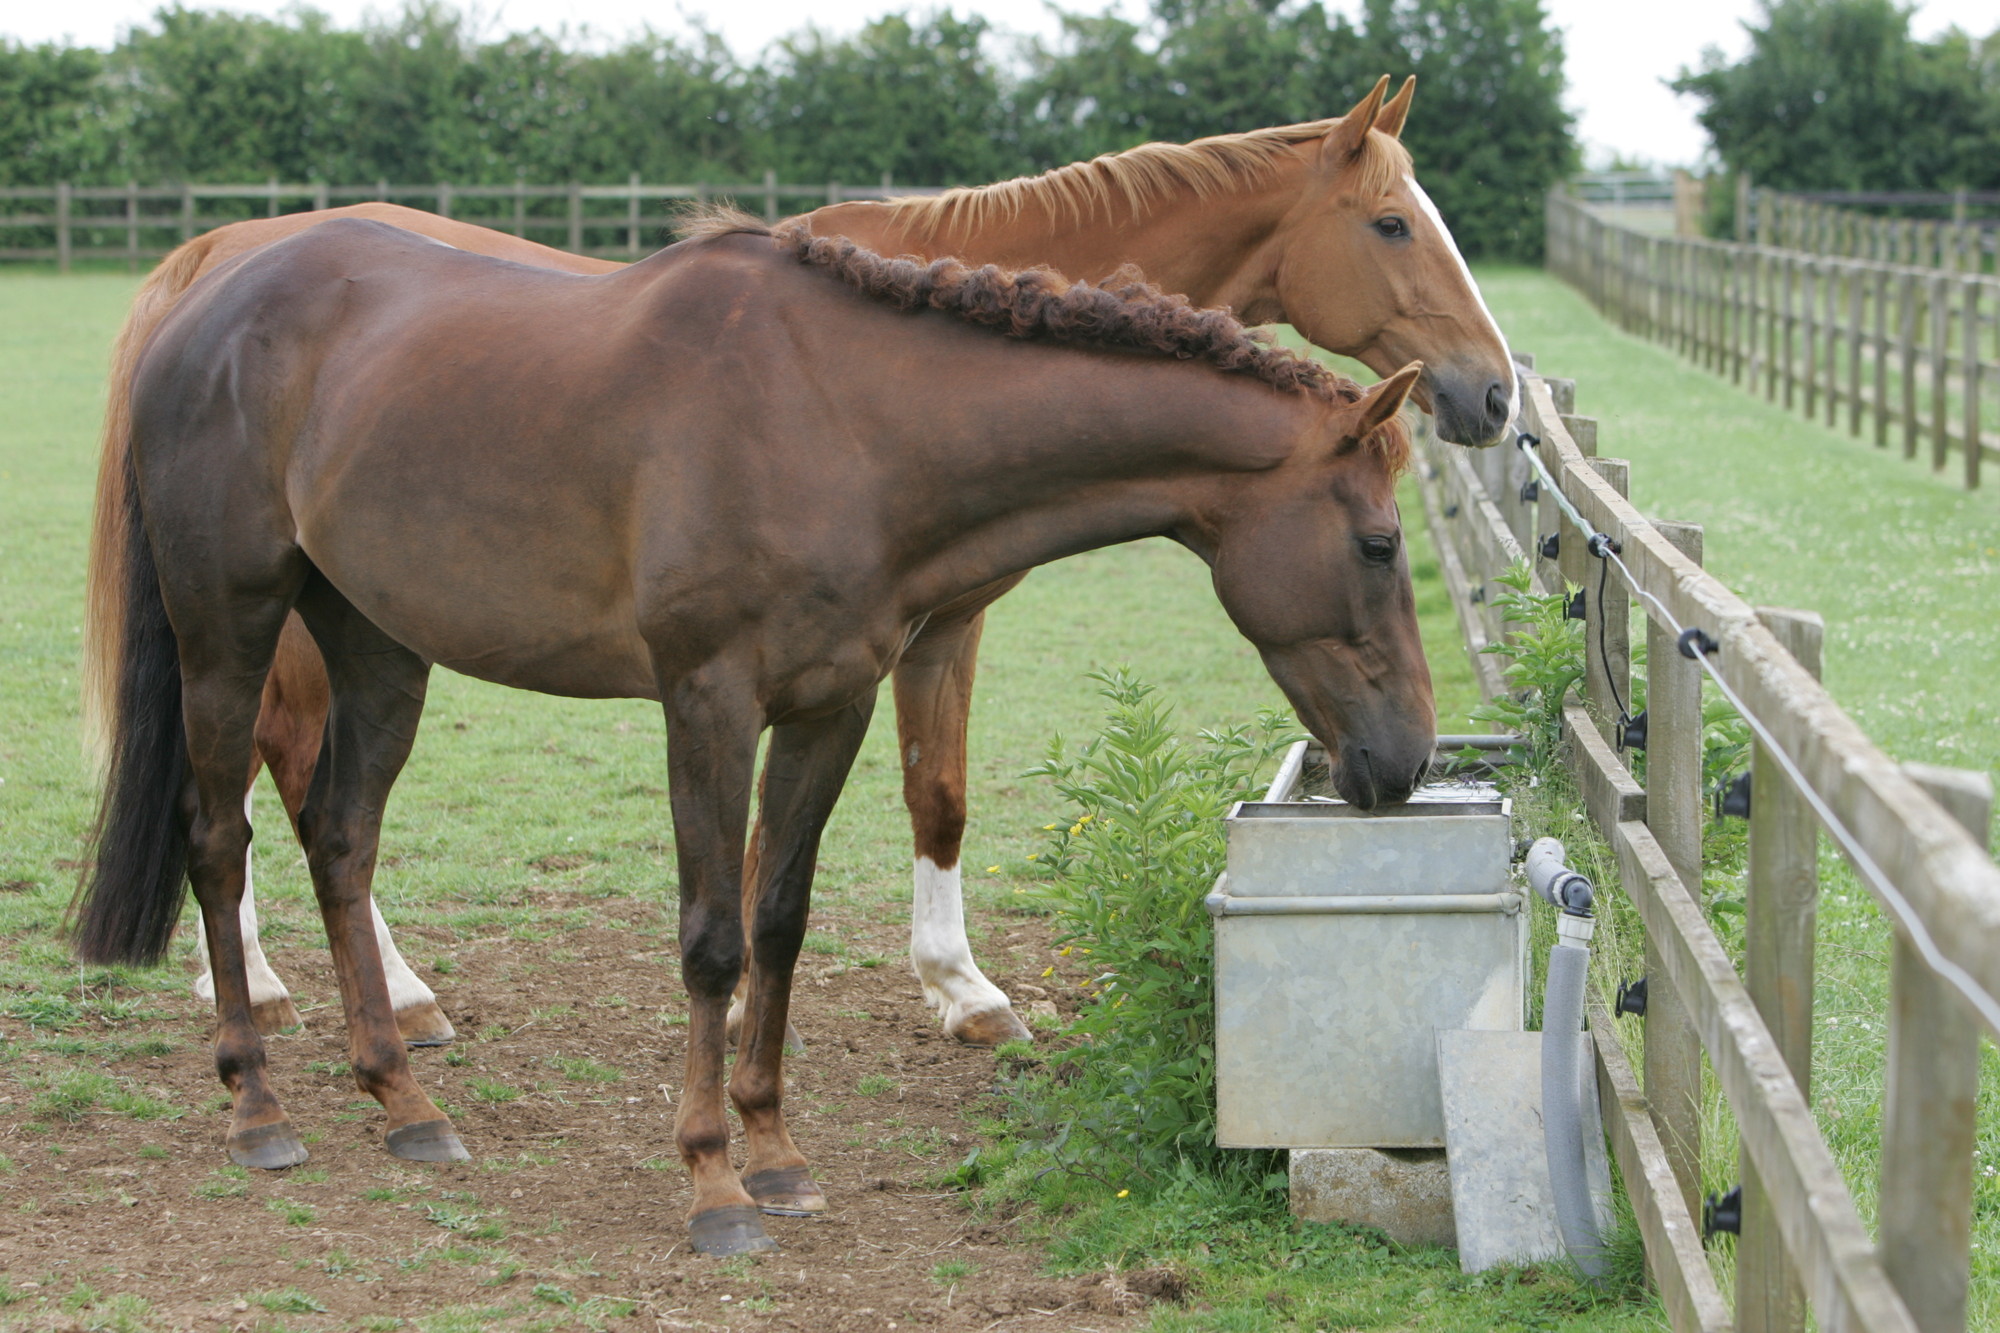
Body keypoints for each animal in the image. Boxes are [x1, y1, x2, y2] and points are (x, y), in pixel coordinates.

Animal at [74, 213, 1424, 1248]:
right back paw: (257, 1105)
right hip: (228, 630)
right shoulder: (707, 701)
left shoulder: (830, 703)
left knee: (341, 838)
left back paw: (404, 1101)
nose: (1403, 760)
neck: (840, 420)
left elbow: (779, 919)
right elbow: (712, 940)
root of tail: (202, 298)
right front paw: (712, 1178)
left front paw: (774, 1151)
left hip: (376, 647)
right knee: (218, 838)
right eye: (1376, 541)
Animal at [82, 75, 1512, 1048]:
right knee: (275, 767)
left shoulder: (911, 634)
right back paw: (340, 984)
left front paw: (940, 990)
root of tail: (211, 259)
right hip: (289, 617)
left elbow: (923, 800)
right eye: (1391, 224)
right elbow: (919, 801)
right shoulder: (930, 628)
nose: (1492, 393)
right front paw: (955, 990)